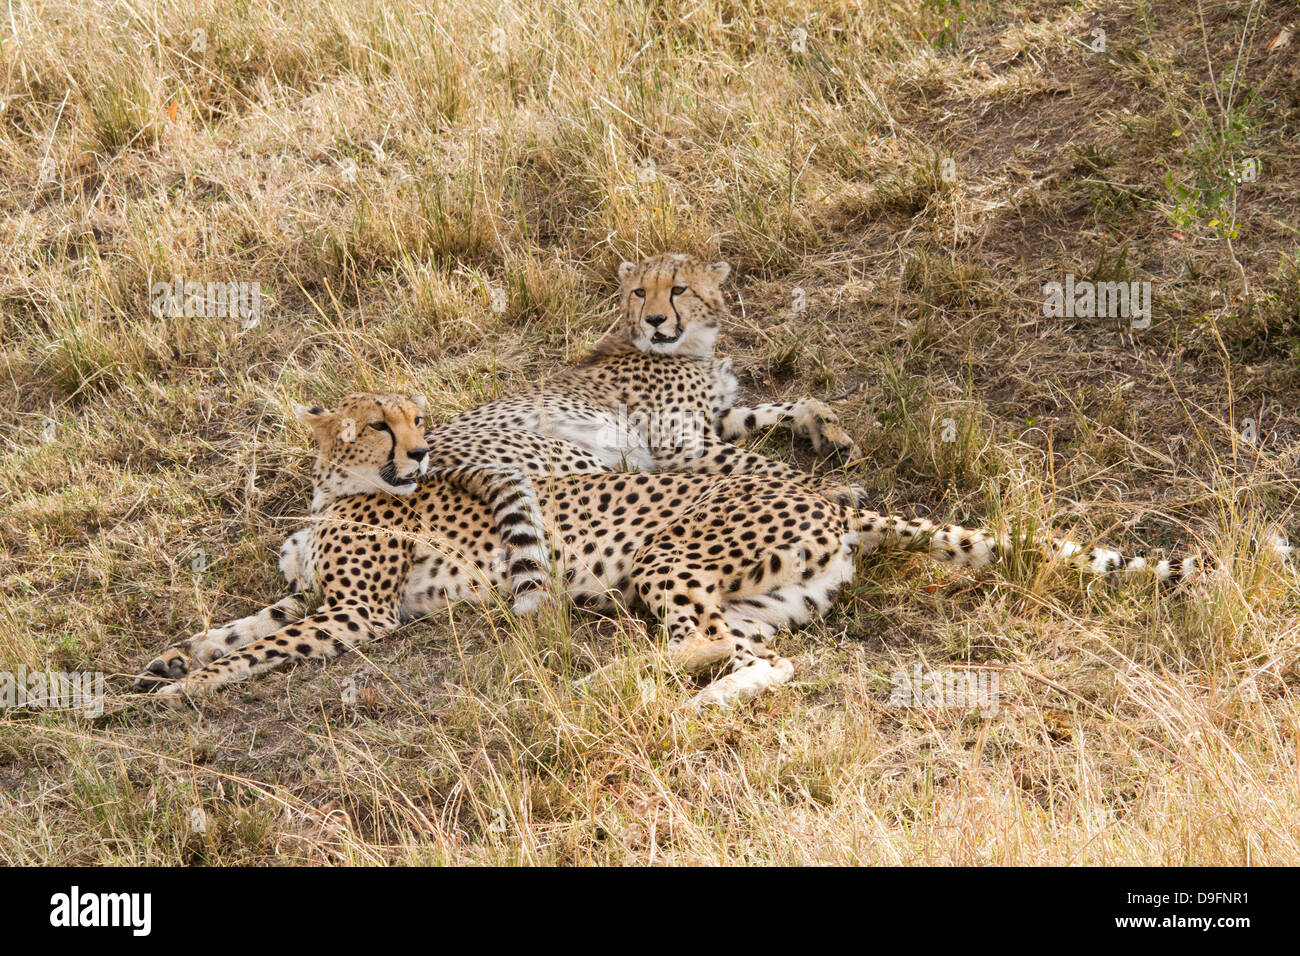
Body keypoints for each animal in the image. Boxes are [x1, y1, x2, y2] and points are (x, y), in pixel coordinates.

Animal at [131, 392, 1216, 707]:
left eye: (414, 423)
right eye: (376, 425)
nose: (421, 451)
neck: (338, 491)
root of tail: (818, 494)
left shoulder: (355, 615)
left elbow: (260, 648)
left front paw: (169, 694)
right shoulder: (308, 596)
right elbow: (234, 625)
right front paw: (161, 664)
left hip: (669, 559)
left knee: (694, 639)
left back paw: (598, 684)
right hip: (764, 601)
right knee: (762, 660)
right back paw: (687, 703)